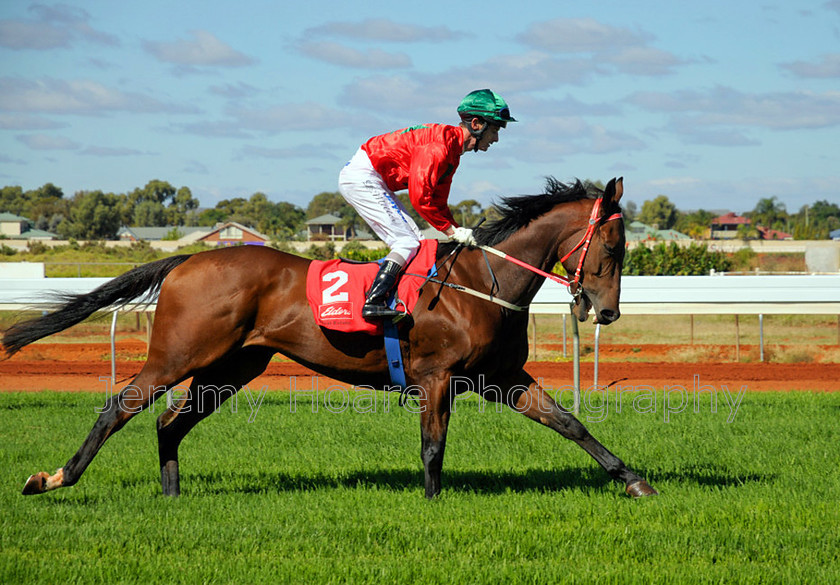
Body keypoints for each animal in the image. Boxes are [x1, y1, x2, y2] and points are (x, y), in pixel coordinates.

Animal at [1, 177, 656, 498]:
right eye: (613, 245)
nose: (607, 311)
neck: (480, 282)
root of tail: (188, 259)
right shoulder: (438, 377)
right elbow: (433, 448)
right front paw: (433, 504)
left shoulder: (500, 377)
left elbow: (570, 424)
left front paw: (634, 480)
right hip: (179, 353)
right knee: (120, 406)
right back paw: (52, 479)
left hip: (233, 366)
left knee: (169, 422)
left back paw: (171, 494)